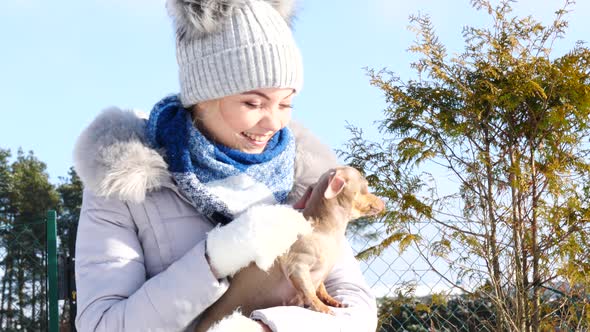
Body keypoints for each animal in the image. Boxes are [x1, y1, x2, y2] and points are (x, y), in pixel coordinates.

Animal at [197, 166, 386, 332]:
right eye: (365, 185)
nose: (384, 202)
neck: (323, 229)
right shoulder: (297, 267)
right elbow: (309, 290)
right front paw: (322, 307)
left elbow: (320, 287)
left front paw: (331, 300)